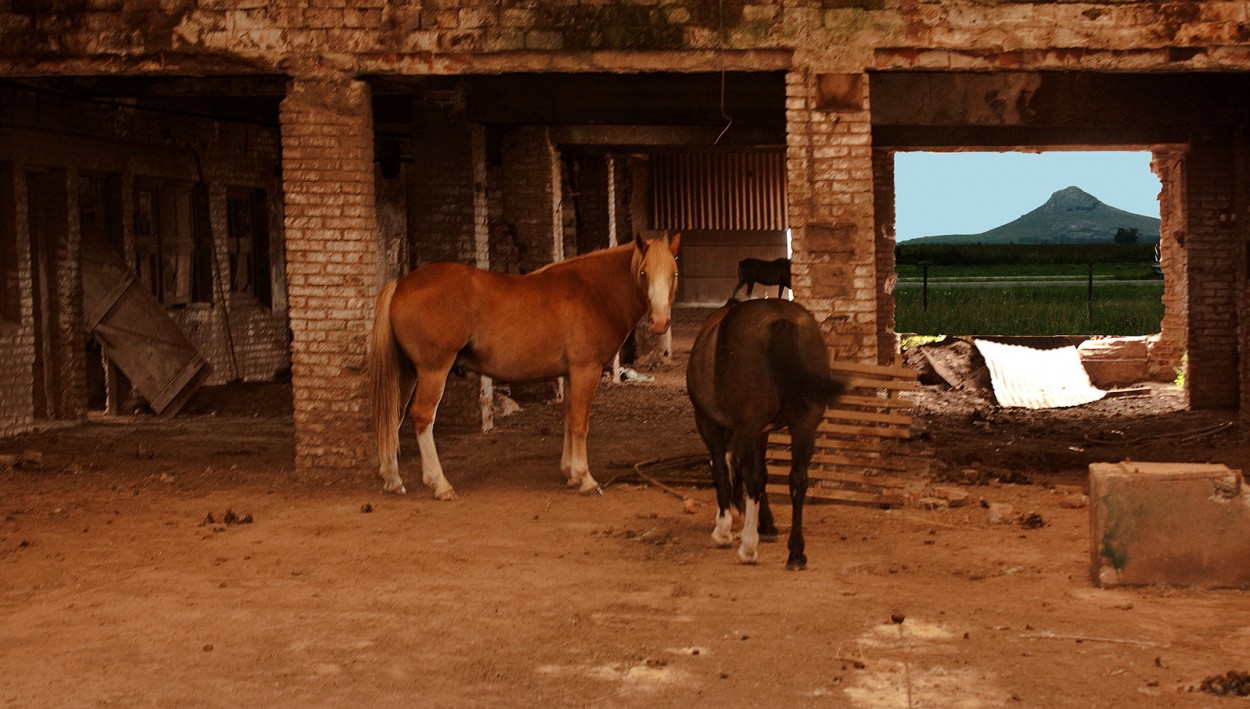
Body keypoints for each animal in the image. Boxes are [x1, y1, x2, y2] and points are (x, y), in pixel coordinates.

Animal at [370, 232, 685, 500]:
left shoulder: (570, 374)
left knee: (394, 415)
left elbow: (568, 418)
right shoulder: (586, 370)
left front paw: (570, 473)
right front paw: (585, 479)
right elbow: (580, 423)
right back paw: (440, 484)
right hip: (434, 371)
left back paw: (393, 479)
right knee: (422, 417)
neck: (594, 291)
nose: (659, 322)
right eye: (643, 273)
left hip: (409, 373)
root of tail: (400, 285)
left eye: (674, 274)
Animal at [690, 300, 845, 572]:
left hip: (744, 427)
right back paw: (796, 554)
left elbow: (722, 469)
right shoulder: (761, 433)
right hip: (804, 426)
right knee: (797, 479)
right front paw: (767, 525)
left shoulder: (710, 423)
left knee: (751, 477)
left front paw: (723, 530)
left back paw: (748, 548)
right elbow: (763, 473)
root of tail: (781, 322)